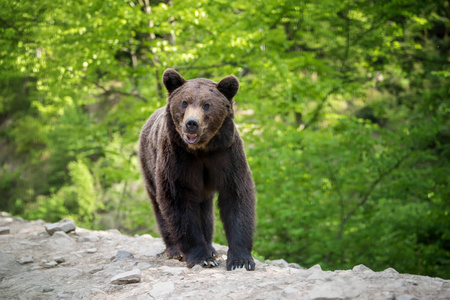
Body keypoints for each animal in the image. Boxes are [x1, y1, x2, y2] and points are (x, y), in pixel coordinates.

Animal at [137, 69, 256, 270]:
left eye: (207, 105)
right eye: (184, 102)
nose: (191, 123)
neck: (202, 149)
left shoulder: (226, 154)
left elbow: (236, 195)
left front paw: (240, 260)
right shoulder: (178, 158)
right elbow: (178, 201)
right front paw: (201, 258)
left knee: (204, 209)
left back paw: (211, 247)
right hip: (149, 163)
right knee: (160, 206)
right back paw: (175, 249)